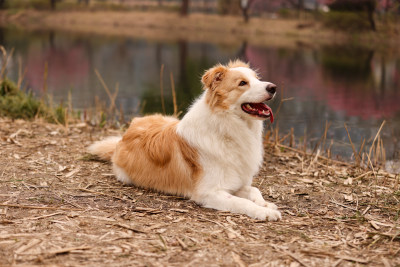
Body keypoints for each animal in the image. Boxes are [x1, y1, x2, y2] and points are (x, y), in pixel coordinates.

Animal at [88, 60, 282, 222]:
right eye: (242, 83)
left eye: (257, 79)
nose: (273, 87)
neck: (225, 126)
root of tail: (127, 132)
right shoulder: (208, 192)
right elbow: (242, 202)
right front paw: (264, 212)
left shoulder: (236, 183)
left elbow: (254, 190)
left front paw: (265, 204)